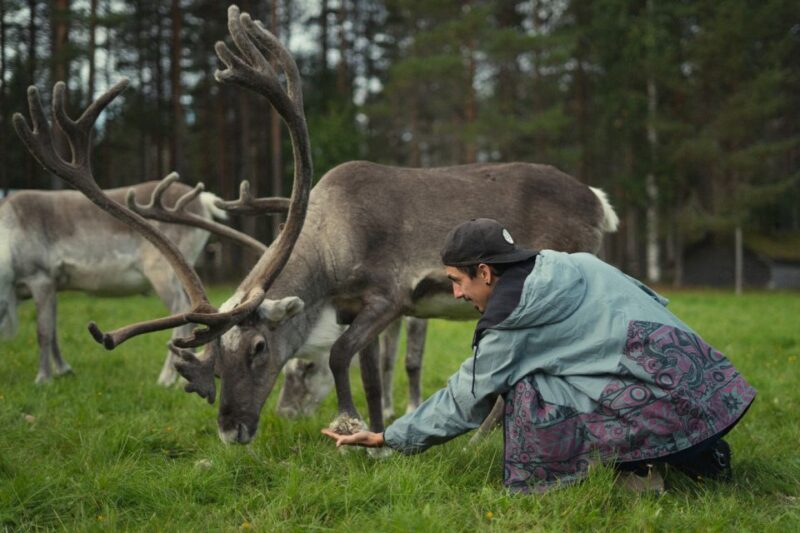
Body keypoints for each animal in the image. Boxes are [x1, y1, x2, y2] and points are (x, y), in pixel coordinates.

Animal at [14, 5, 619, 447]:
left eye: (259, 348)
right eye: (213, 359)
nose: (231, 430)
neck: (331, 244)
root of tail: (599, 202)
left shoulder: (389, 295)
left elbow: (338, 355)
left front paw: (348, 423)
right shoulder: (357, 308)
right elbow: (371, 373)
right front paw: (375, 430)